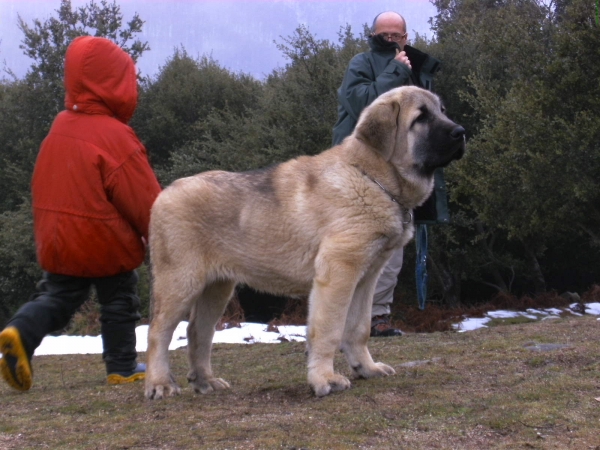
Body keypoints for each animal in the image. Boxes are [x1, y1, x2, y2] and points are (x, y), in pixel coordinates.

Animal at [144, 86, 464, 400]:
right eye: (421, 118)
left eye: (442, 111)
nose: (461, 131)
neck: (371, 177)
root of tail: (165, 192)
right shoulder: (338, 272)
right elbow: (329, 330)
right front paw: (325, 379)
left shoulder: (367, 276)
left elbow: (359, 328)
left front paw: (367, 368)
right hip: (181, 282)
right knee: (158, 332)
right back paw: (159, 384)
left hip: (217, 287)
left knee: (199, 332)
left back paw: (205, 381)